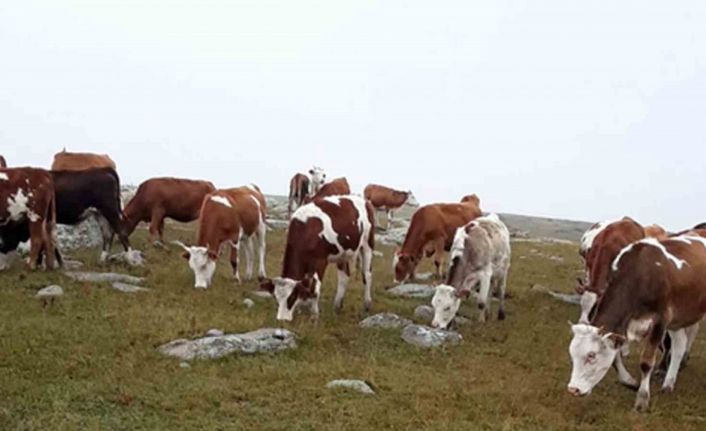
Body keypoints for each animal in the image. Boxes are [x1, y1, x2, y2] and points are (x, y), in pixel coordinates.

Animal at [564, 236, 704, 412]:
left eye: (591, 355)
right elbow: (615, 359)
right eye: (572, 354)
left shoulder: (660, 320)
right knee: (679, 345)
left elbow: (646, 363)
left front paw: (642, 399)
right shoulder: (622, 327)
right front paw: (629, 381)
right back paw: (668, 383)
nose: (573, 389)